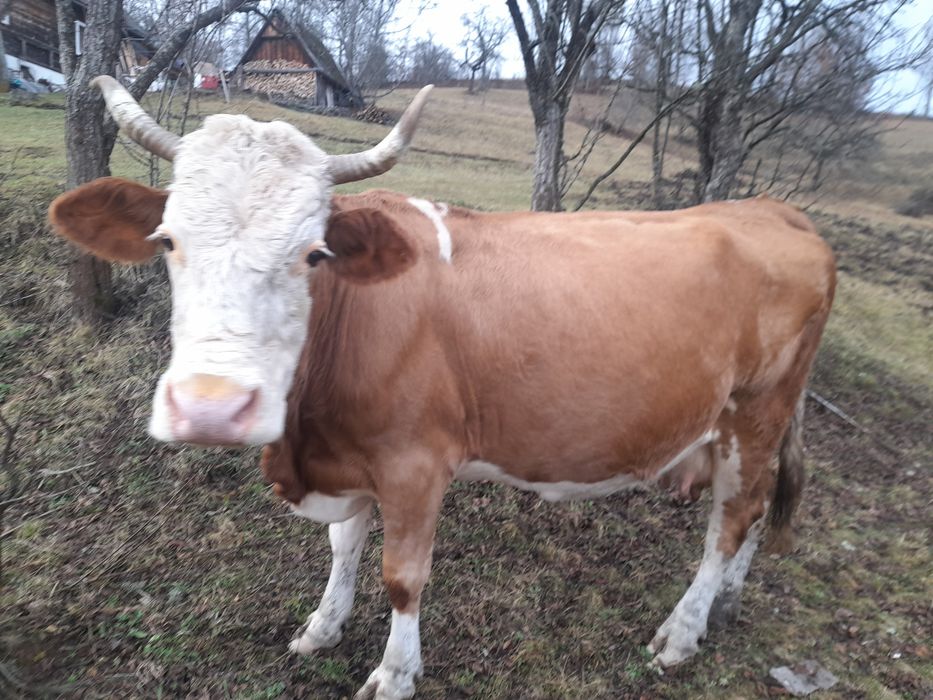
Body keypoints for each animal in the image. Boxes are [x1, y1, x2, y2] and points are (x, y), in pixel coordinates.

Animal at [49, 76, 836, 699]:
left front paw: (395, 674)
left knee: (731, 521)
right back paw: (723, 606)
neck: (309, 441)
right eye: (168, 241)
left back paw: (681, 631)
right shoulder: (353, 458)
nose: (212, 408)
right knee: (753, 513)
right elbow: (342, 545)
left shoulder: (414, 463)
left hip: (755, 412)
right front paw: (323, 625)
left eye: (314, 253)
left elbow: (402, 575)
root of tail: (769, 208)